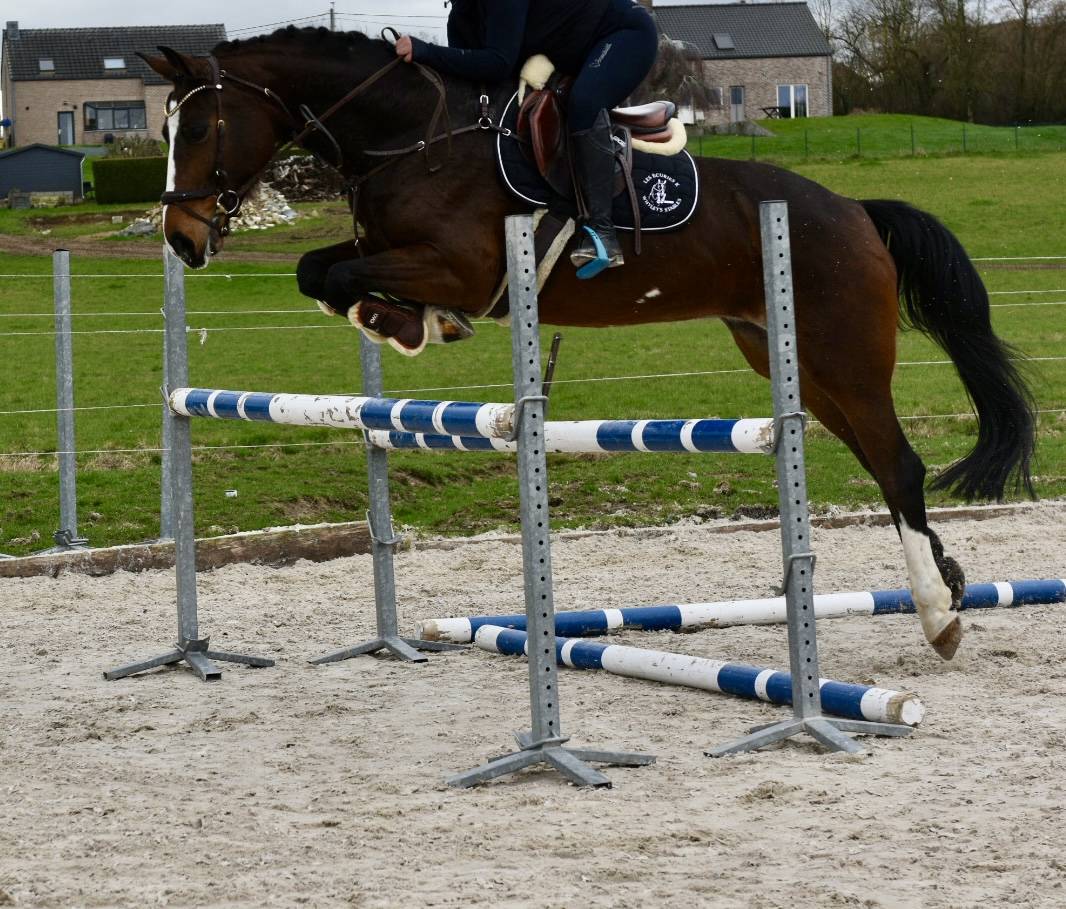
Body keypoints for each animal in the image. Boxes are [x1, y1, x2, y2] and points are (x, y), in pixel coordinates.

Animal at [140, 27, 1037, 662]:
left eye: (204, 125)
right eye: (167, 127)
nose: (181, 239)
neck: (413, 138)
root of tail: (855, 210)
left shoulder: (463, 265)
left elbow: (337, 271)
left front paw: (412, 319)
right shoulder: (397, 253)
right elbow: (317, 269)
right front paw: (403, 319)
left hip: (844, 357)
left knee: (901, 465)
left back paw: (937, 615)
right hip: (792, 361)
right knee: (882, 467)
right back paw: (952, 586)